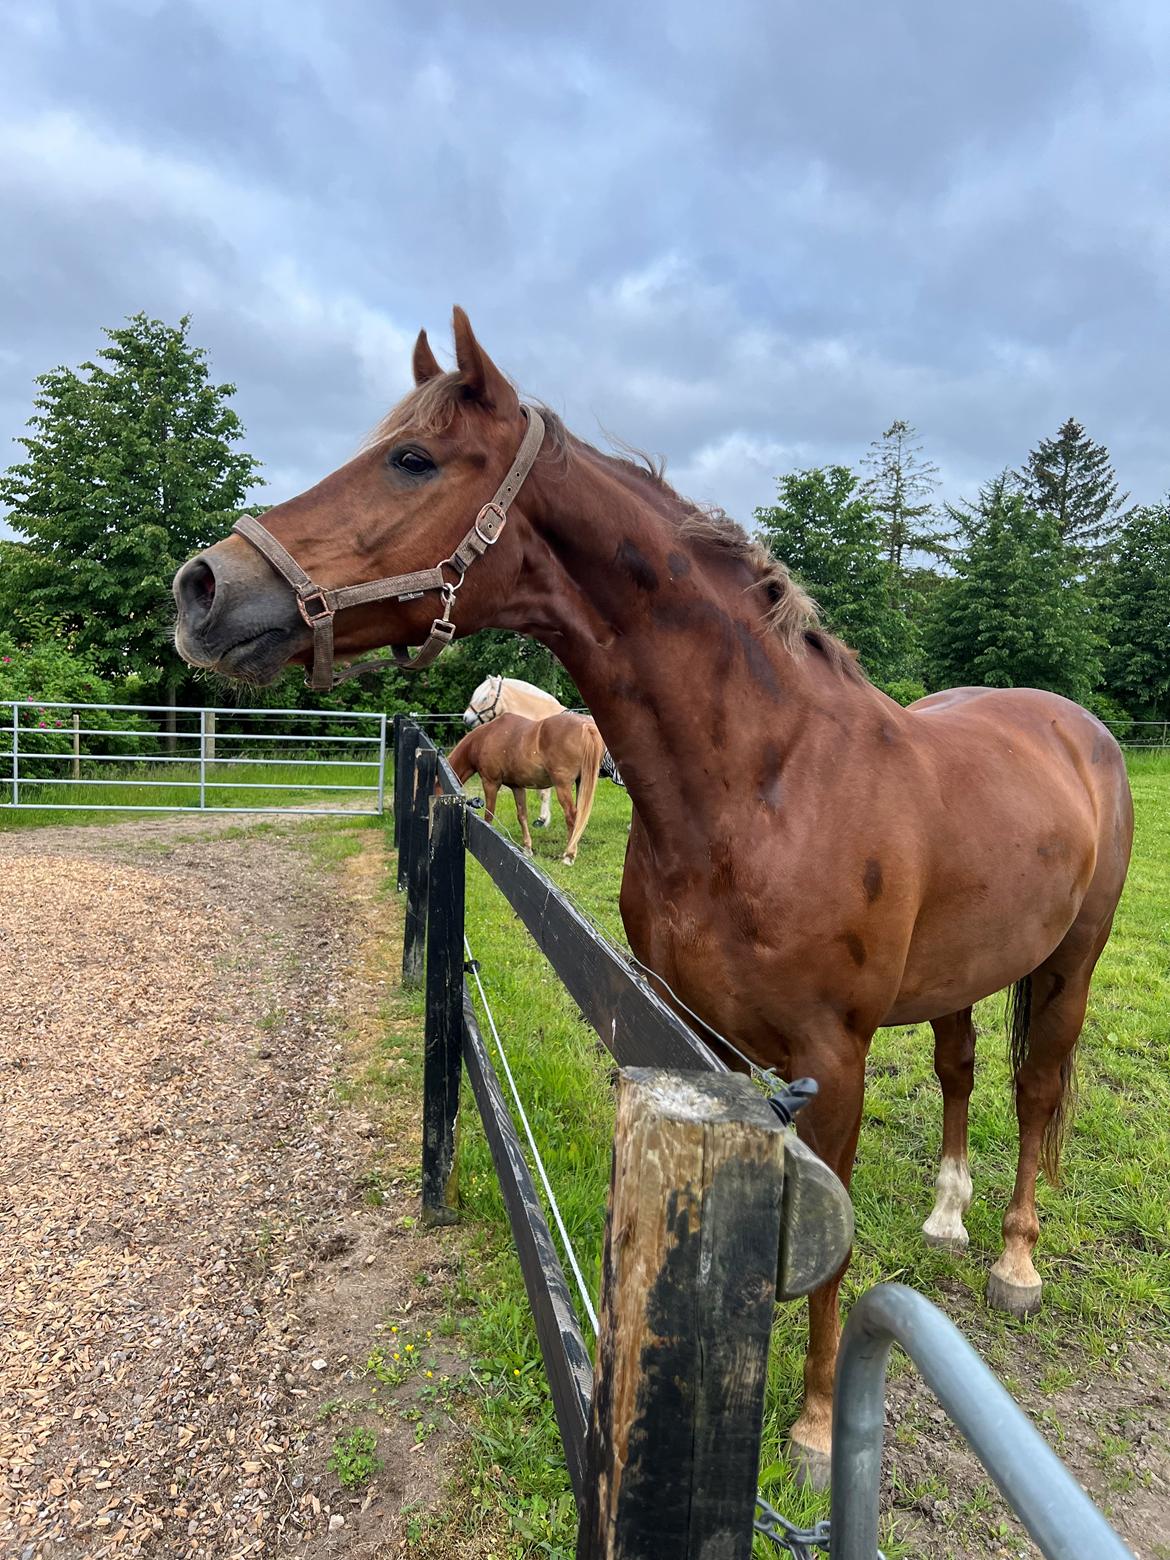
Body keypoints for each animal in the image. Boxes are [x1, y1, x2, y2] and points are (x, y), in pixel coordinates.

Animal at [449, 711, 608, 867]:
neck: (484, 738)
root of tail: (587, 726)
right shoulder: (517, 787)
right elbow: (522, 816)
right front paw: (527, 848)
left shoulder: (490, 783)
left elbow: (488, 816)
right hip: (581, 782)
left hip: (563, 786)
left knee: (571, 815)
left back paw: (568, 855)